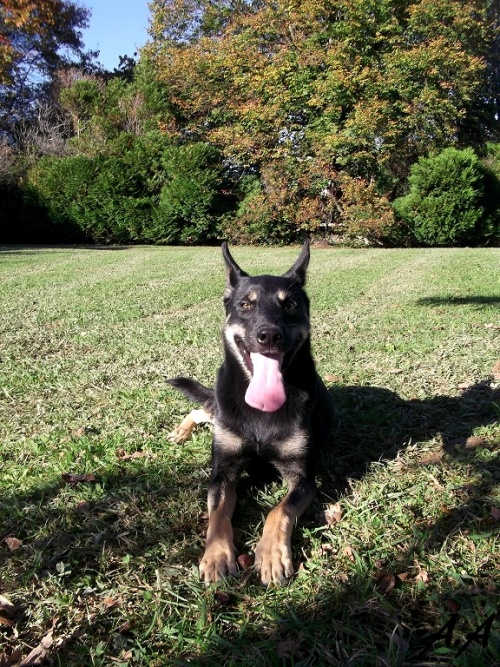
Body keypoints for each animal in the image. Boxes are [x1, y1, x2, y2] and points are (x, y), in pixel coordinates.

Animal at [166, 240, 334, 584]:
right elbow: (217, 515)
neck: (260, 413)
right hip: (221, 410)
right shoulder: (223, 473)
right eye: (245, 305)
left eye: (290, 304)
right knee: (204, 409)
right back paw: (181, 430)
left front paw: (271, 554)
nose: (268, 335)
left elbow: (278, 510)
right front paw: (216, 555)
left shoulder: (303, 479)